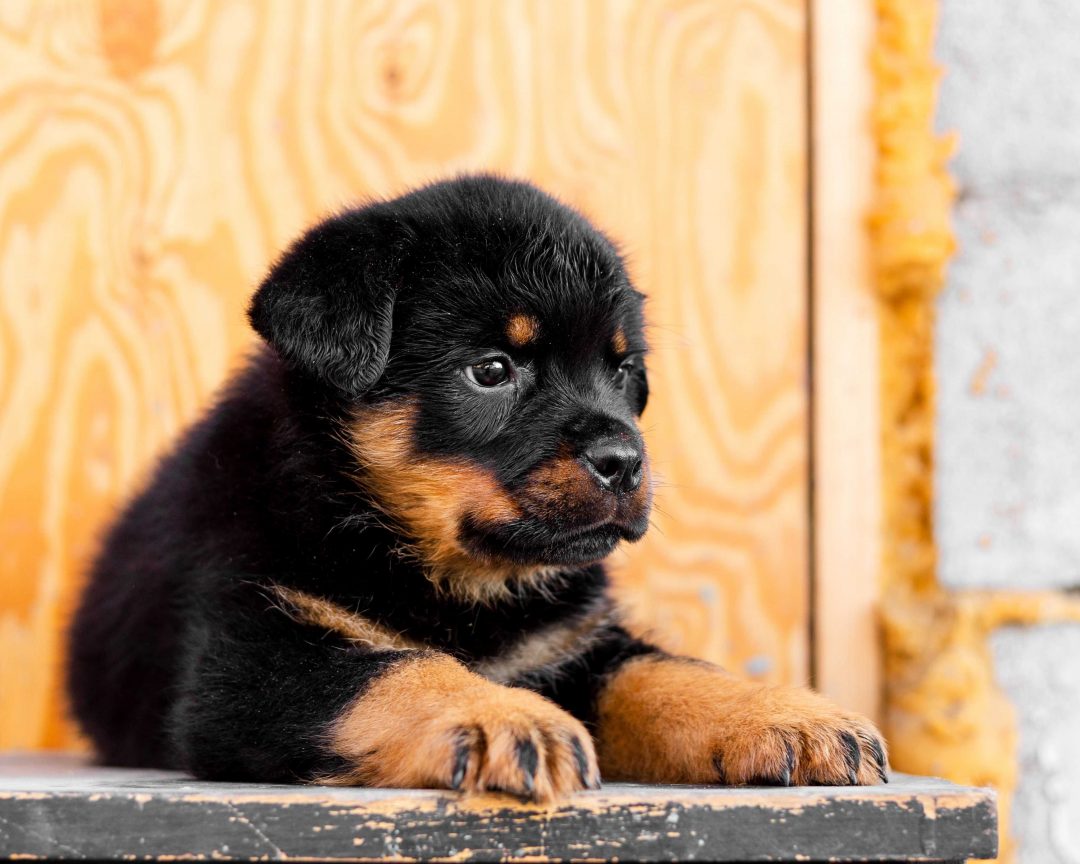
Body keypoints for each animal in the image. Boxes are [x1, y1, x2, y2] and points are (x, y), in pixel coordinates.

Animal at [67, 177, 885, 803]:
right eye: (491, 370)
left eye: (623, 371)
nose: (625, 460)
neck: (459, 580)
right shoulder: (247, 664)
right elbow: (396, 667)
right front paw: (503, 718)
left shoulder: (574, 646)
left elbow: (661, 670)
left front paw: (784, 714)